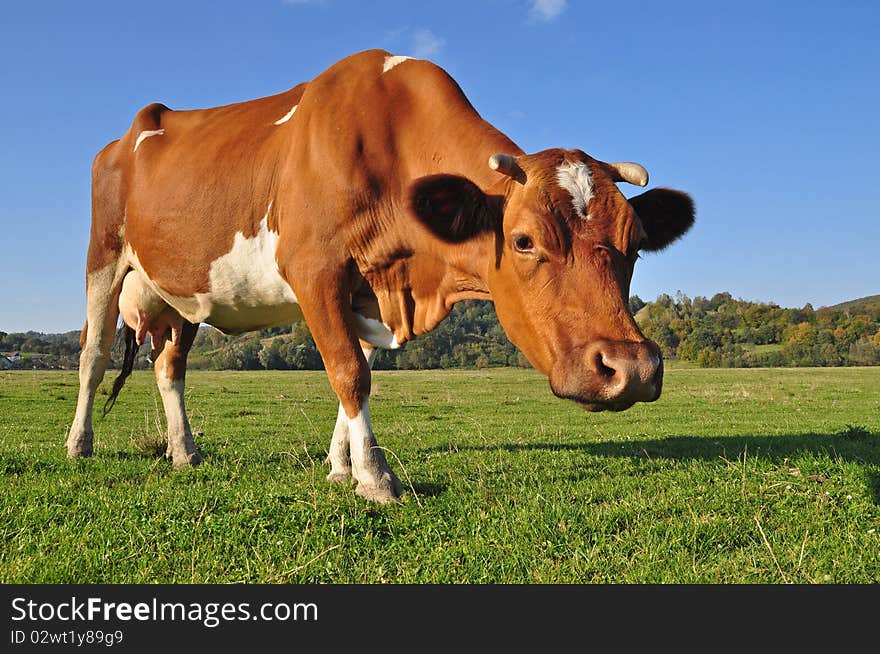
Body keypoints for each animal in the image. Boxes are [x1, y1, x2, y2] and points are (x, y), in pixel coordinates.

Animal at [65, 50, 696, 502]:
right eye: (524, 240)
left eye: (636, 243)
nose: (633, 369)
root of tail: (136, 128)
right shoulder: (314, 270)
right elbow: (349, 372)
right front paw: (374, 477)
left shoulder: (367, 291)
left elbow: (359, 372)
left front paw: (340, 467)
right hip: (103, 259)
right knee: (92, 355)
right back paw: (79, 444)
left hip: (182, 293)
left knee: (170, 367)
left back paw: (184, 451)